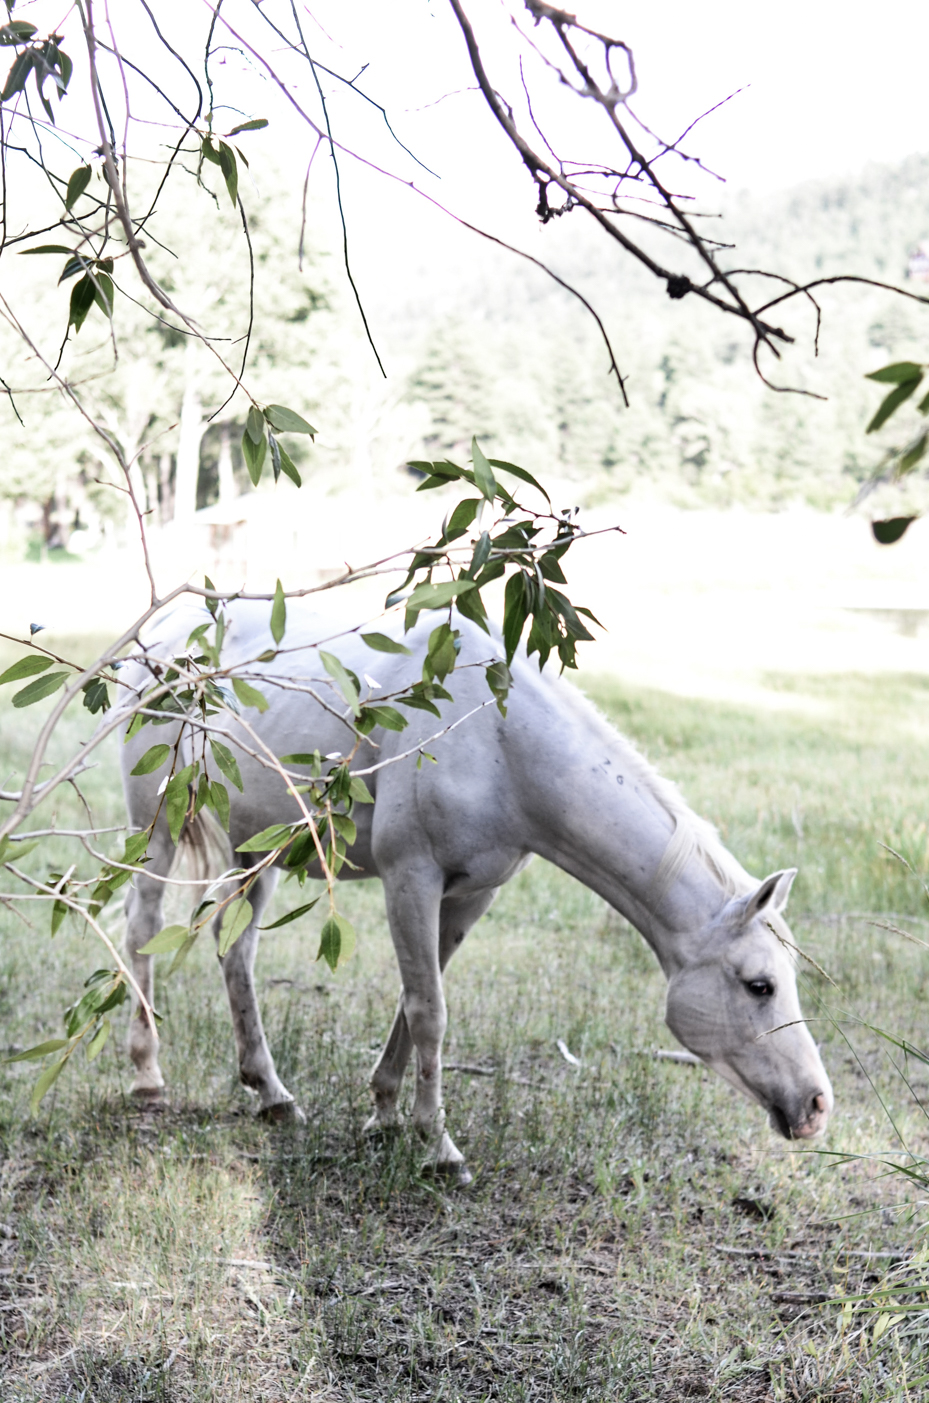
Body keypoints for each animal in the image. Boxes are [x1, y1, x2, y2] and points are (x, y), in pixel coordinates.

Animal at [118, 597, 836, 1178]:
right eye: (760, 985)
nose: (816, 1104)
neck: (498, 740)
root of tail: (161, 631)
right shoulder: (410, 878)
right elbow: (428, 1010)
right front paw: (439, 1147)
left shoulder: (470, 893)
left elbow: (415, 1001)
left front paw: (385, 1115)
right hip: (157, 824)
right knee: (142, 928)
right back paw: (148, 1076)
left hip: (256, 847)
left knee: (233, 946)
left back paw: (271, 1093)